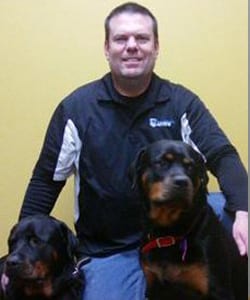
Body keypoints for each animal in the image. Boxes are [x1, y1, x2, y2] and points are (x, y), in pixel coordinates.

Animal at [131, 140, 248, 300]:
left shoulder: (218, 288)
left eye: (191, 166)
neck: (169, 232)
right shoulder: (154, 286)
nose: (181, 182)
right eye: (161, 162)